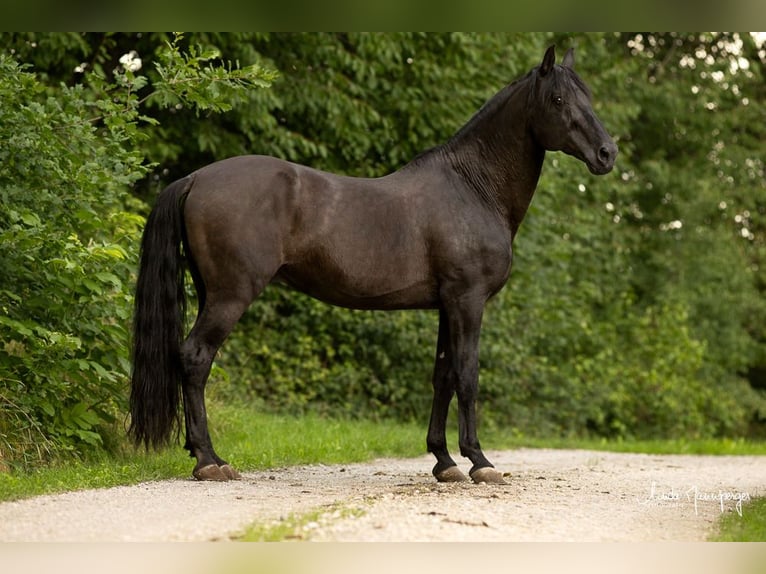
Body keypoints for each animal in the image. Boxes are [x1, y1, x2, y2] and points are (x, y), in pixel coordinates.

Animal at [129, 45, 617, 484]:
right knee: (196, 358)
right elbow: (467, 375)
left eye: (589, 96)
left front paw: (444, 462)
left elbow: (442, 375)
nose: (607, 154)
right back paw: (210, 461)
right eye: (558, 100)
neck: (472, 186)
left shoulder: (447, 305)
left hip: (209, 291)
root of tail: (195, 178)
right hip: (231, 296)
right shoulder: (468, 300)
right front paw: (480, 462)